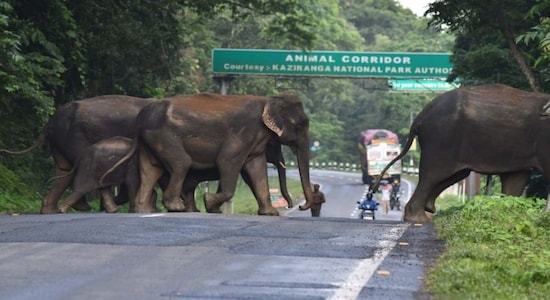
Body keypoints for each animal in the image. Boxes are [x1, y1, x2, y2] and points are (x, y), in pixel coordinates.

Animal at [126, 92, 314, 214]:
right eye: (300, 125)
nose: (296, 206)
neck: (268, 100)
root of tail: (141, 116)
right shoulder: (244, 132)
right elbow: (226, 161)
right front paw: (208, 202)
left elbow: (257, 168)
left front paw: (270, 213)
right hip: (164, 137)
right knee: (182, 163)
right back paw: (177, 207)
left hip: (150, 141)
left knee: (150, 170)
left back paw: (143, 210)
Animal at [374, 84, 550, 223]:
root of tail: (420, 116)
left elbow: (515, 180)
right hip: (441, 138)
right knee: (433, 175)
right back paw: (420, 219)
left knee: (453, 175)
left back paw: (428, 211)